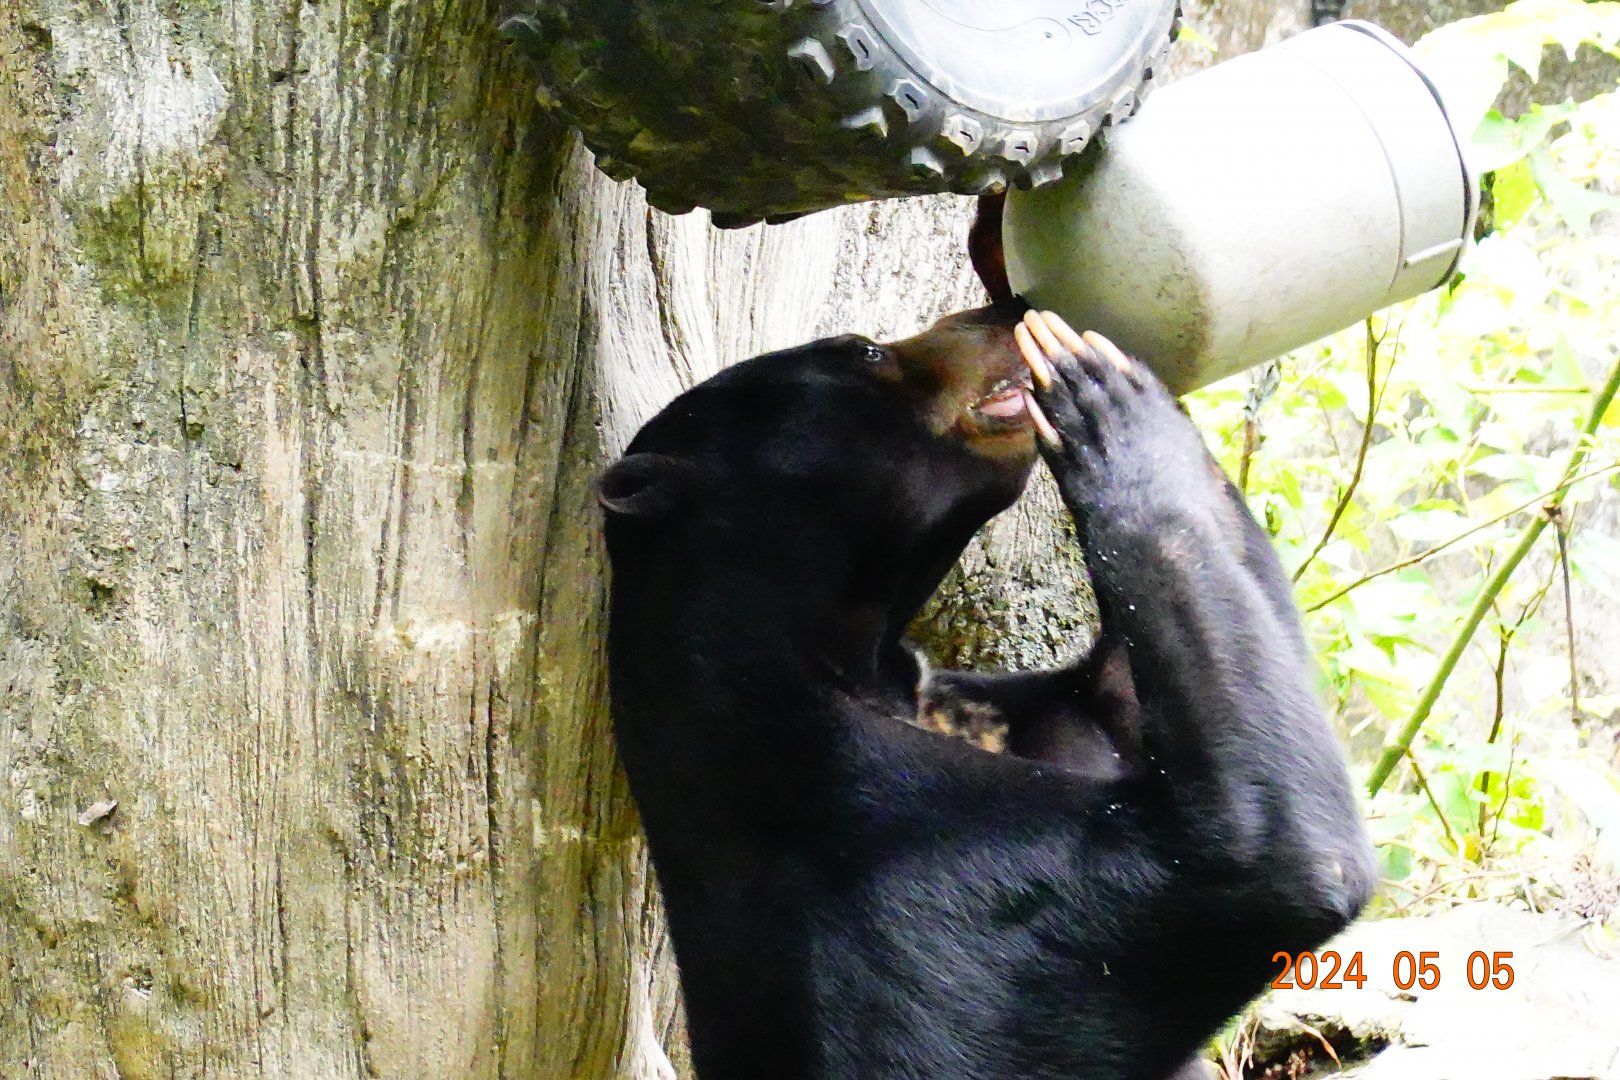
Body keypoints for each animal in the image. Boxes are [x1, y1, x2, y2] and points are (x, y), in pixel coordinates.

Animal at [597, 300, 1376, 1080]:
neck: (863, 660)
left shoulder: (1015, 704)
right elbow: (1251, 856)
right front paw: (1102, 401)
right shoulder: (879, 830)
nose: (1008, 306)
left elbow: (1135, 689)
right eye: (867, 350)